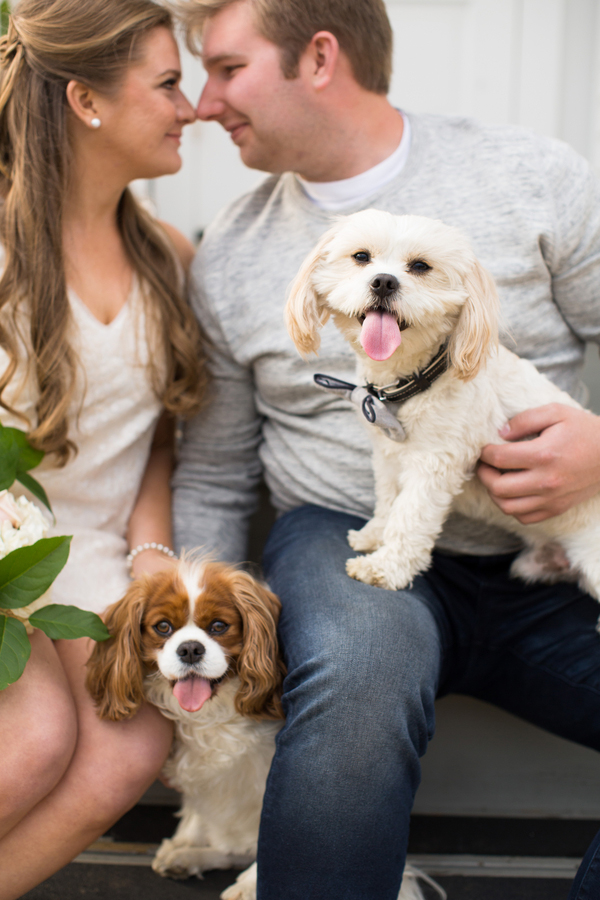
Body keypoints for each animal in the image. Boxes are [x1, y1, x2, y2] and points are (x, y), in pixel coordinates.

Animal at [284, 210, 600, 600]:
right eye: (361, 257)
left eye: (421, 266)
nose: (384, 282)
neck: (411, 382)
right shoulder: (389, 458)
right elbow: (388, 500)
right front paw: (374, 535)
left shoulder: (434, 463)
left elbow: (410, 518)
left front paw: (384, 567)